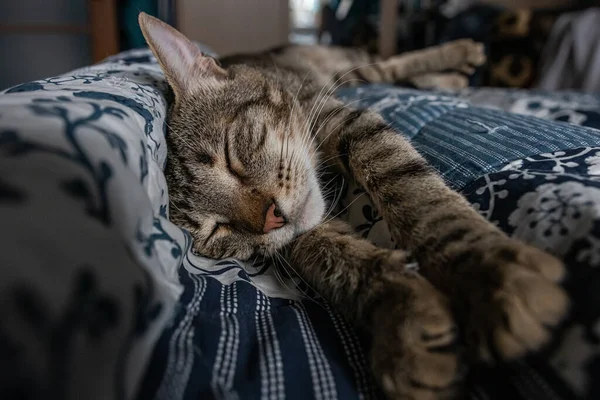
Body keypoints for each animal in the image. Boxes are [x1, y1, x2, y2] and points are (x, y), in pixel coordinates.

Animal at [138, 12, 568, 400]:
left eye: (231, 157)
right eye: (218, 230)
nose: (271, 219)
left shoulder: (348, 121)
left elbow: (414, 193)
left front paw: (486, 273)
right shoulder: (304, 234)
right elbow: (336, 259)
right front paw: (404, 319)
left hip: (344, 67)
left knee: (387, 64)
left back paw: (460, 56)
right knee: (389, 74)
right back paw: (453, 75)